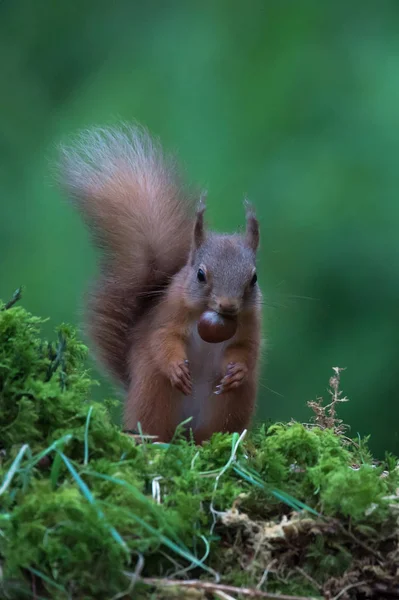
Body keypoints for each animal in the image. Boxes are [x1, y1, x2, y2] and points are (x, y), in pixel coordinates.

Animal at [57, 124, 262, 442]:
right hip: (156, 394)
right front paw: (176, 367)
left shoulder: (252, 323)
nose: (228, 307)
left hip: (229, 406)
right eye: (200, 274)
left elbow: (247, 350)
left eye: (253, 278)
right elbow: (163, 340)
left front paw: (238, 370)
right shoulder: (168, 313)